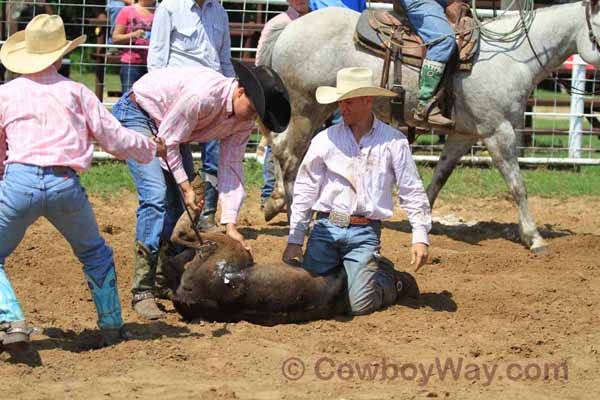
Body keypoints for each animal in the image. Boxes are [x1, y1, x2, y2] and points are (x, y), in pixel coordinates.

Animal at [260, 0, 600, 252]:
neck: (513, 58)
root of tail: (289, 28)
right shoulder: (498, 132)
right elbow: (518, 186)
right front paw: (534, 238)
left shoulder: (463, 135)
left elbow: (438, 179)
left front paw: (422, 221)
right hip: (306, 108)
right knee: (290, 156)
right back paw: (298, 221)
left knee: (280, 148)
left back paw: (275, 203)